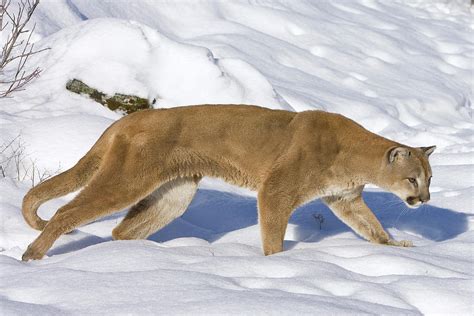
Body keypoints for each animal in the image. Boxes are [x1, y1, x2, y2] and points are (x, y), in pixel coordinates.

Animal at [23, 105, 436, 260]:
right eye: (412, 179)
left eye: (430, 179)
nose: (425, 200)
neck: (356, 155)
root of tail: (128, 117)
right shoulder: (276, 190)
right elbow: (273, 234)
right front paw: (277, 262)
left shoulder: (345, 199)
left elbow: (373, 227)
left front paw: (397, 246)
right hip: (127, 179)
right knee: (66, 212)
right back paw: (33, 255)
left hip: (176, 193)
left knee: (122, 230)